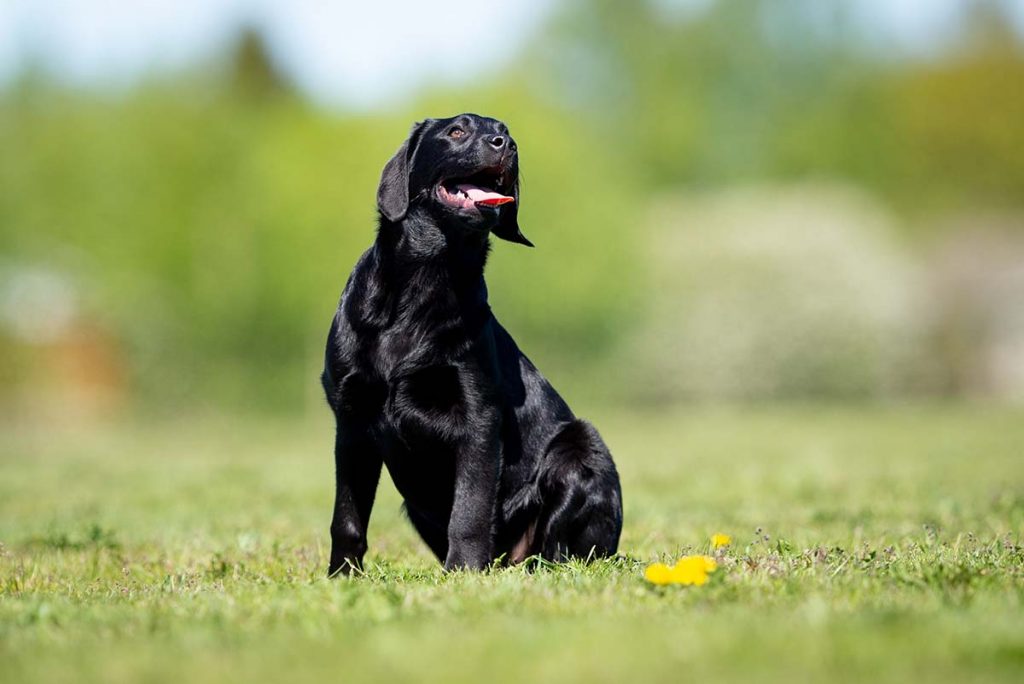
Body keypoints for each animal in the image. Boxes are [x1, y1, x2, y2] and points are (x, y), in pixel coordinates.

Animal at [319, 114, 622, 573]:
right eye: (457, 131)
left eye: (505, 130)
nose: (506, 143)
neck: (426, 283)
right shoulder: (351, 421)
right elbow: (347, 517)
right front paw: (342, 576)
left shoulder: (478, 416)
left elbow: (470, 509)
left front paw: (463, 571)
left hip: (580, 446)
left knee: (557, 549)